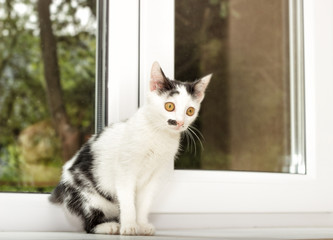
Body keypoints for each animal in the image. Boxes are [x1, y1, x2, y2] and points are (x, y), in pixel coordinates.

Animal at [49, 61, 210, 235]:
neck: (158, 135)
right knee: (89, 224)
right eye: (169, 106)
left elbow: (144, 202)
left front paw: (141, 225)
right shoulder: (125, 169)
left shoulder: (156, 175)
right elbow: (127, 200)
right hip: (89, 196)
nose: (180, 122)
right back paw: (109, 226)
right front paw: (129, 226)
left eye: (190, 111)